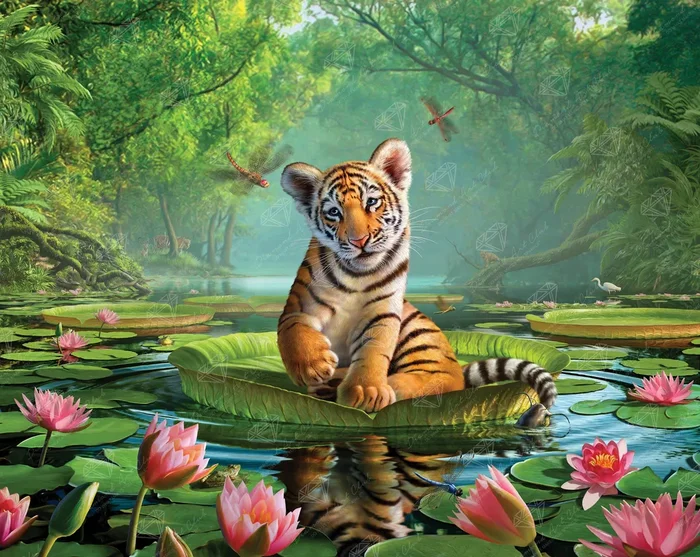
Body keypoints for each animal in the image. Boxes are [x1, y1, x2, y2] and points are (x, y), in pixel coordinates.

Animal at [278, 138, 557, 413]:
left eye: (372, 202)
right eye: (334, 212)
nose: (360, 241)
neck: (357, 275)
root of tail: (459, 367)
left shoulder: (383, 312)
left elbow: (374, 350)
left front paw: (366, 391)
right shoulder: (297, 306)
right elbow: (293, 330)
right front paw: (313, 366)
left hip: (419, 335)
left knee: (440, 379)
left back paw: (375, 385)